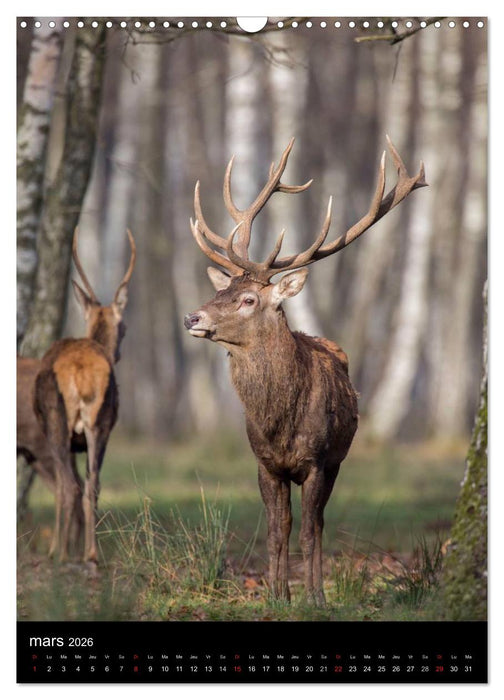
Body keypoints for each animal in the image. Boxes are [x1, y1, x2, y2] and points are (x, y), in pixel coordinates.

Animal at [33, 229, 136, 564]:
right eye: (124, 327)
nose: (118, 353)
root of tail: (79, 374)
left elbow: (65, 486)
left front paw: (61, 547)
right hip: (98, 423)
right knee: (90, 484)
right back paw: (90, 553)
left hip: (58, 422)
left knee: (68, 486)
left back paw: (61, 552)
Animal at [184, 137, 426, 604]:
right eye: (221, 290)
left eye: (248, 300)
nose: (192, 317)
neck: (280, 422)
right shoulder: (265, 463)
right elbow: (278, 530)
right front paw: (277, 595)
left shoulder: (315, 460)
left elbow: (310, 532)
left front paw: (314, 597)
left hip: (337, 461)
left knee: (322, 522)